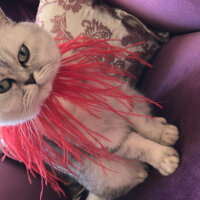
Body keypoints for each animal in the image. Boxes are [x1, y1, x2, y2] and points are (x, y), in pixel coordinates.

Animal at [0, 7, 179, 200]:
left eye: (23, 53)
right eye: (3, 86)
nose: (30, 79)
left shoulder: (118, 98)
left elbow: (144, 124)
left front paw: (163, 134)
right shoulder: (102, 142)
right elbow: (139, 147)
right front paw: (163, 158)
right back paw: (139, 173)